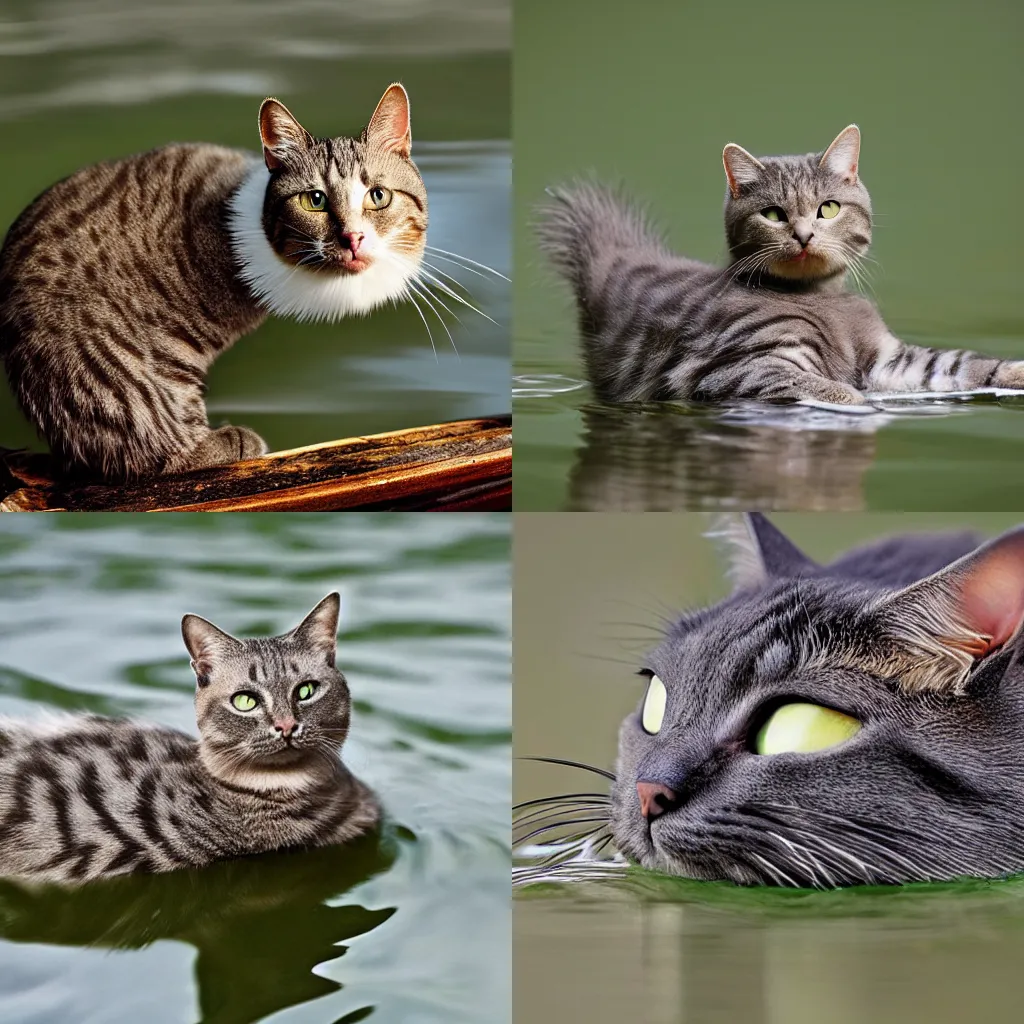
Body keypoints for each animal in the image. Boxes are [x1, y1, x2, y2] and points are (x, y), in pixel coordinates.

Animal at [536, 132, 1024, 407]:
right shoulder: (739, 368)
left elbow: (961, 362)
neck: (821, 298)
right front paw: (859, 404)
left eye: (829, 208)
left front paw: (1014, 371)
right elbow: (833, 391)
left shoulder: (892, 360)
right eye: (773, 215)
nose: (804, 235)